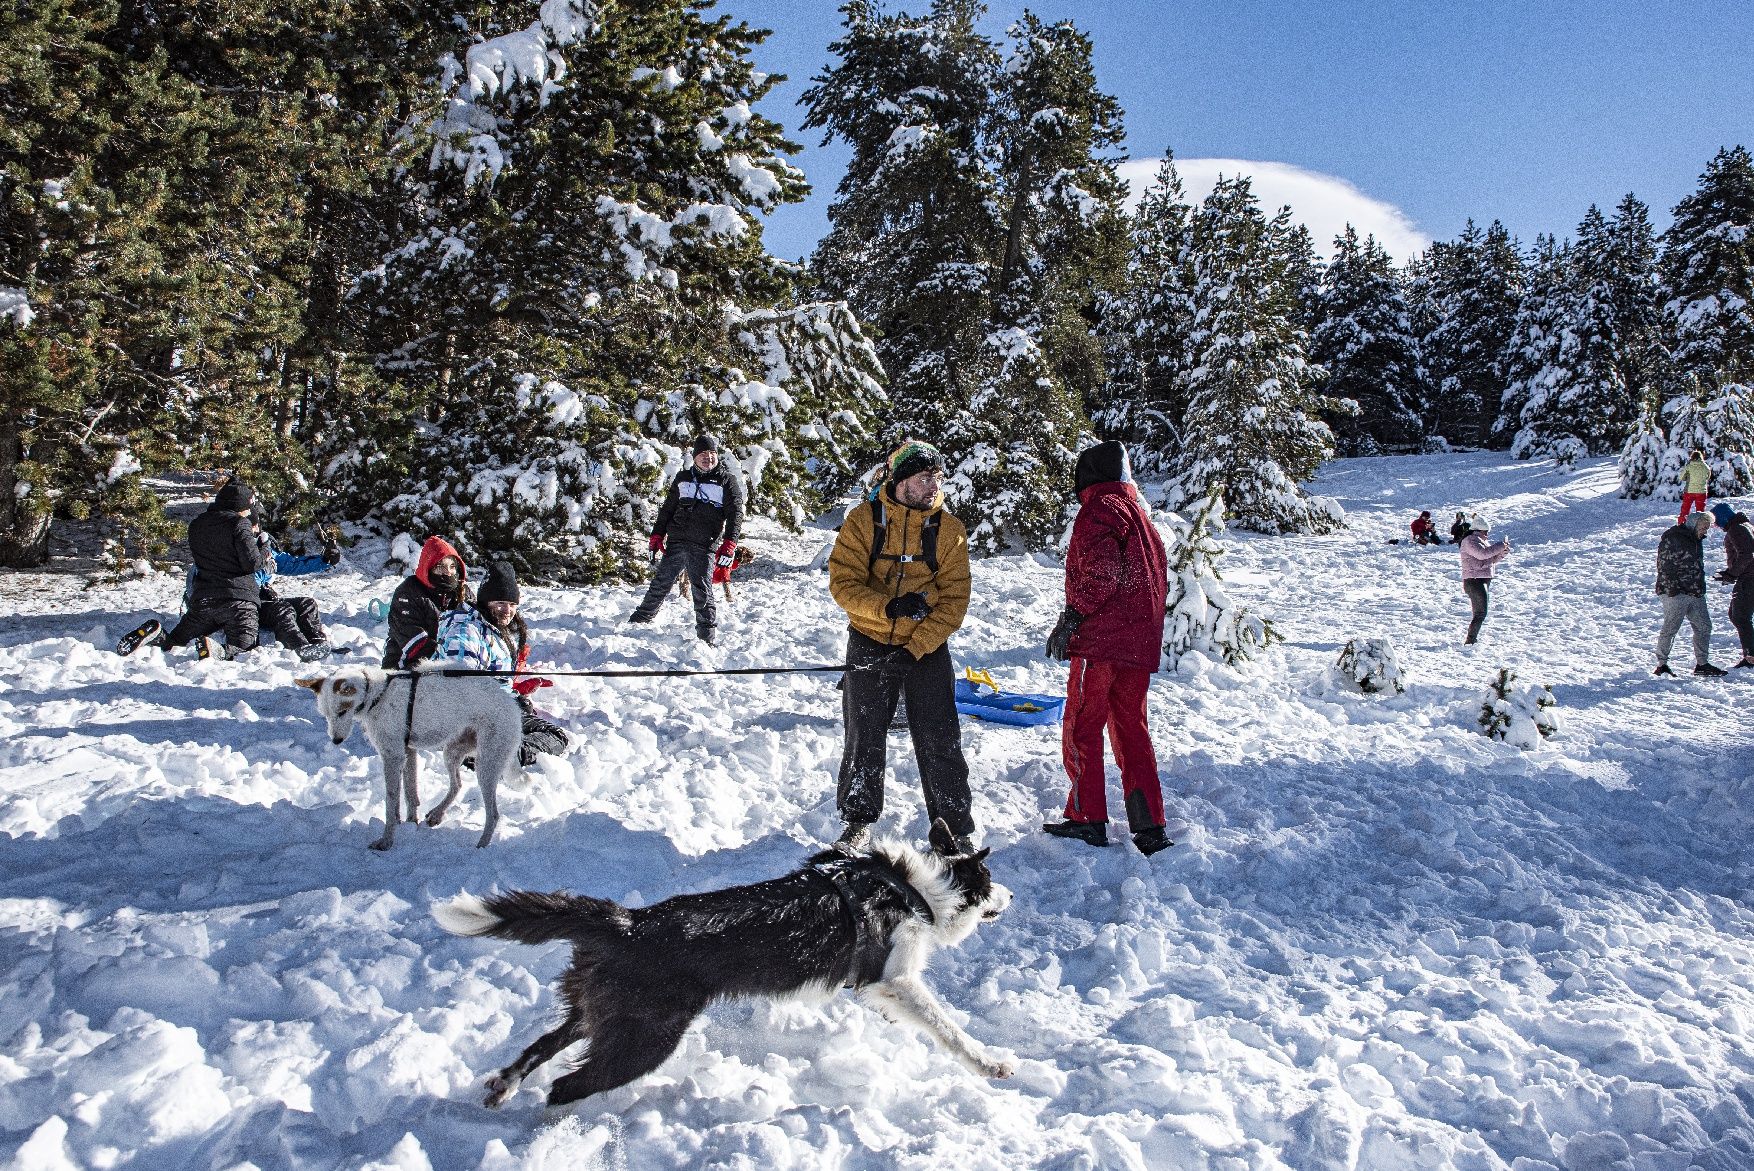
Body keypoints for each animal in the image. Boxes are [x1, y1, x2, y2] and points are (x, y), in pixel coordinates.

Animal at [294, 662, 522, 844]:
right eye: (326, 714)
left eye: (342, 712)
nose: (336, 740)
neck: (379, 694)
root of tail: (514, 707)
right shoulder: (408, 752)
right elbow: (410, 795)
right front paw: (410, 823)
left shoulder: (392, 757)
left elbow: (391, 801)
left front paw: (386, 841)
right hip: (452, 751)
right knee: (457, 784)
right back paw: (437, 813)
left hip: (486, 765)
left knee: (493, 815)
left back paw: (481, 845)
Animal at [431, 813, 1017, 1107]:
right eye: (992, 882)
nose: (1011, 897)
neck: (918, 887)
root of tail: (630, 923)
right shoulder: (896, 979)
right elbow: (948, 1027)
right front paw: (991, 1062)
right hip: (647, 1038)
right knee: (563, 1088)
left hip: (600, 1013)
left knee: (539, 1049)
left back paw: (503, 1087)